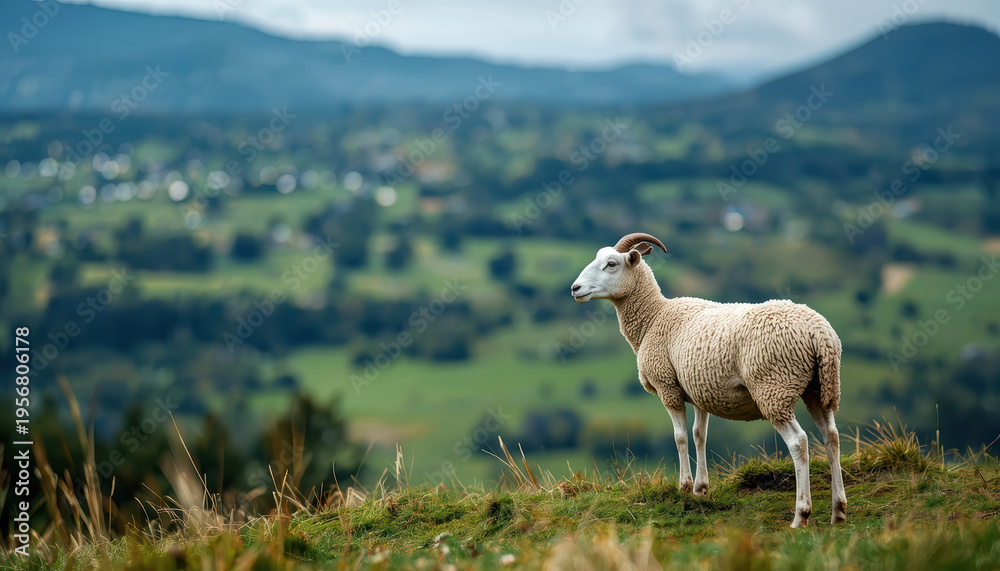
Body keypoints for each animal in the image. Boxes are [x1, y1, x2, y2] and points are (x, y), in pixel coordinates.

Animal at [570, 232, 846, 528]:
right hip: (819, 387)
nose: (575, 288)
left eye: (611, 264)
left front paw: (683, 486)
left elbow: (680, 437)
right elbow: (699, 434)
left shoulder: (667, 386)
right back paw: (838, 511)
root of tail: (820, 334)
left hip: (773, 387)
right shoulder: (700, 389)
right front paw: (700, 488)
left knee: (798, 442)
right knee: (831, 436)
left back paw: (801, 515)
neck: (654, 317)